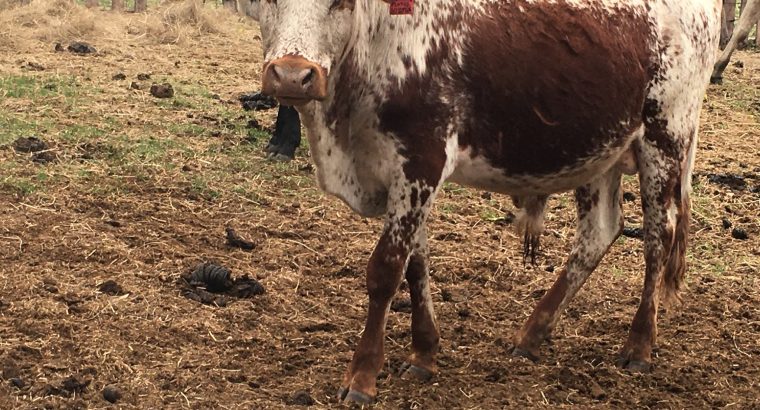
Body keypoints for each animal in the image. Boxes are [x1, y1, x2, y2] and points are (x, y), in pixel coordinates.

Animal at [240, 0, 720, 403]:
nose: (292, 74)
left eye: (340, 2)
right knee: (598, 234)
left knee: (659, 239)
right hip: (600, 148)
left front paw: (363, 376)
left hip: (666, 137)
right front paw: (424, 353)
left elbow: (386, 271)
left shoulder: (421, 160)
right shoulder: (406, 179)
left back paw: (639, 344)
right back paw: (532, 334)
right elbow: (416, 265)